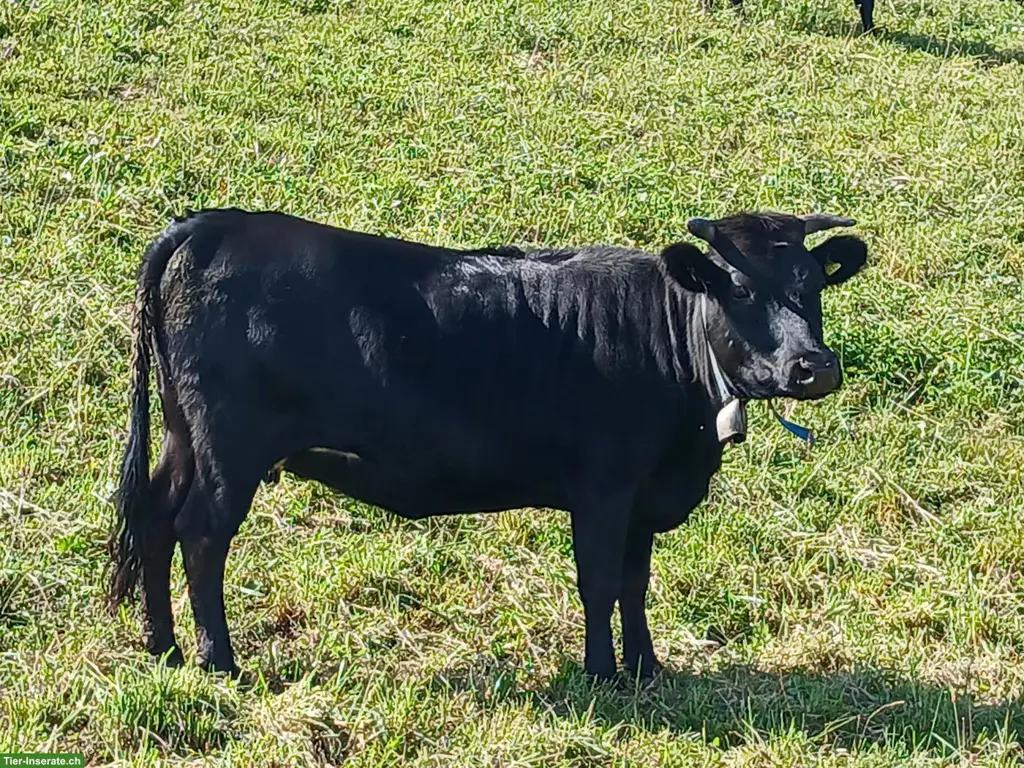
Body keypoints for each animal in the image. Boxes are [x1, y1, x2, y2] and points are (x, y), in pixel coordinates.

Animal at [108, 208, 868, 680]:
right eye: (738, 287)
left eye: (811, 284)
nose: (814, 366)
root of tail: (213, 224)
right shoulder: (603, 487)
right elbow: (599, 581)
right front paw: (601, 674)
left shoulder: (644, 497)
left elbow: (634, 583)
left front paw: (647, 669)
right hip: (229, 449)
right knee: (201, 534)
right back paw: (219, 660)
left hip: (184, 438)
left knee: (153, 520)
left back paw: (163, 646)